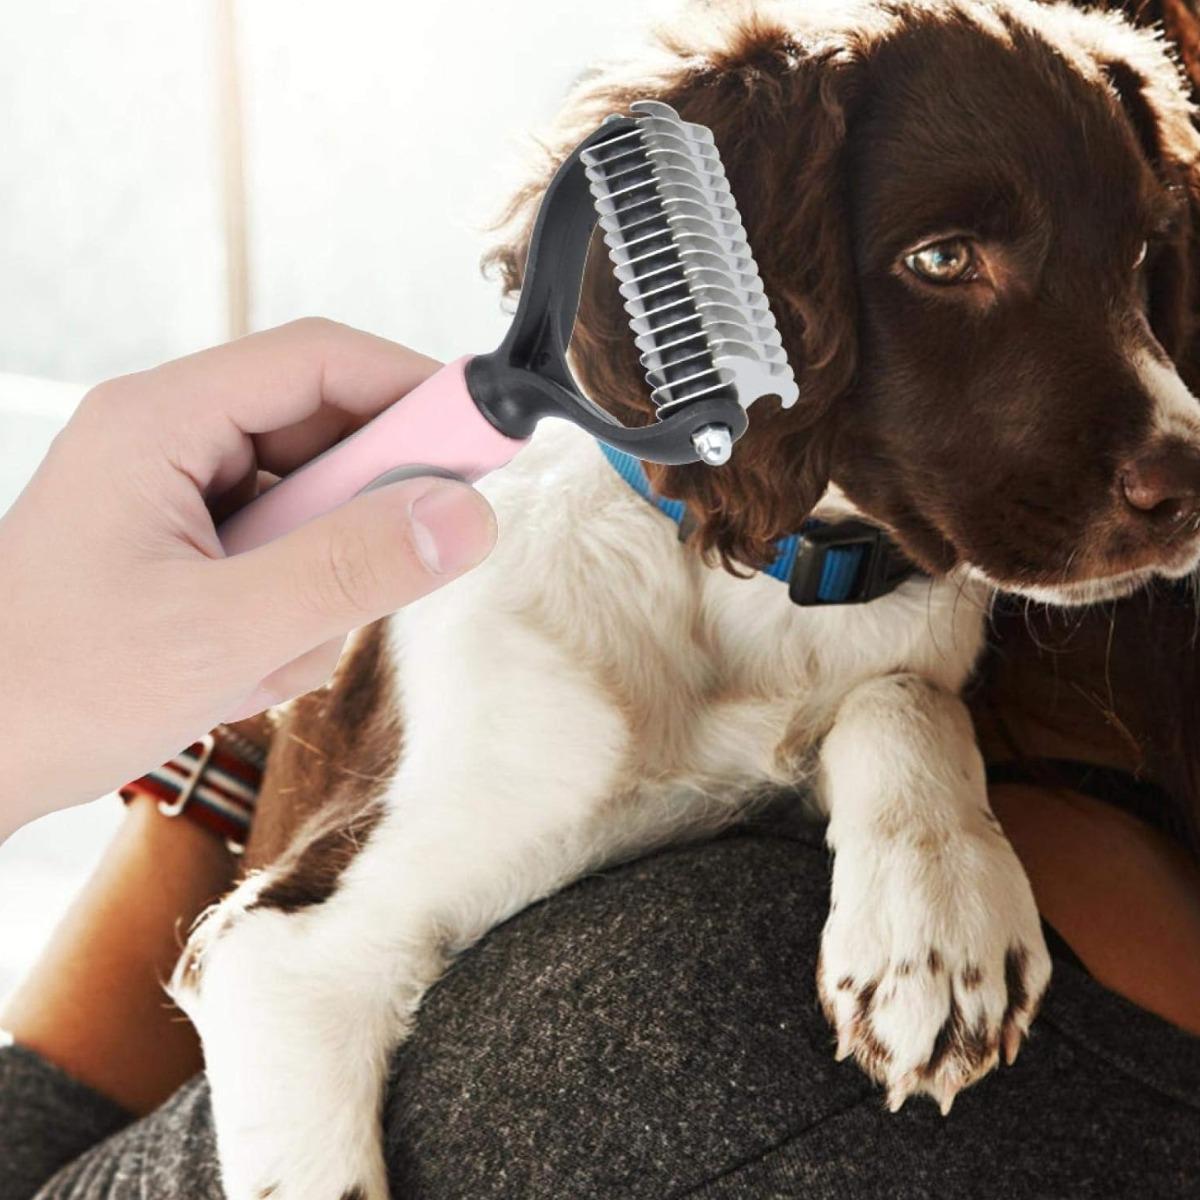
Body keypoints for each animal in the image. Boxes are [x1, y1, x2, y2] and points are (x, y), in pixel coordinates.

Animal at [174, 4, 1200, 1195]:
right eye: (943, 259)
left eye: (1141, 255)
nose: (1190, 491)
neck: (752, 589)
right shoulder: (287, 948)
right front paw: (935, 932)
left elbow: (902, 695)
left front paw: (935, 928)